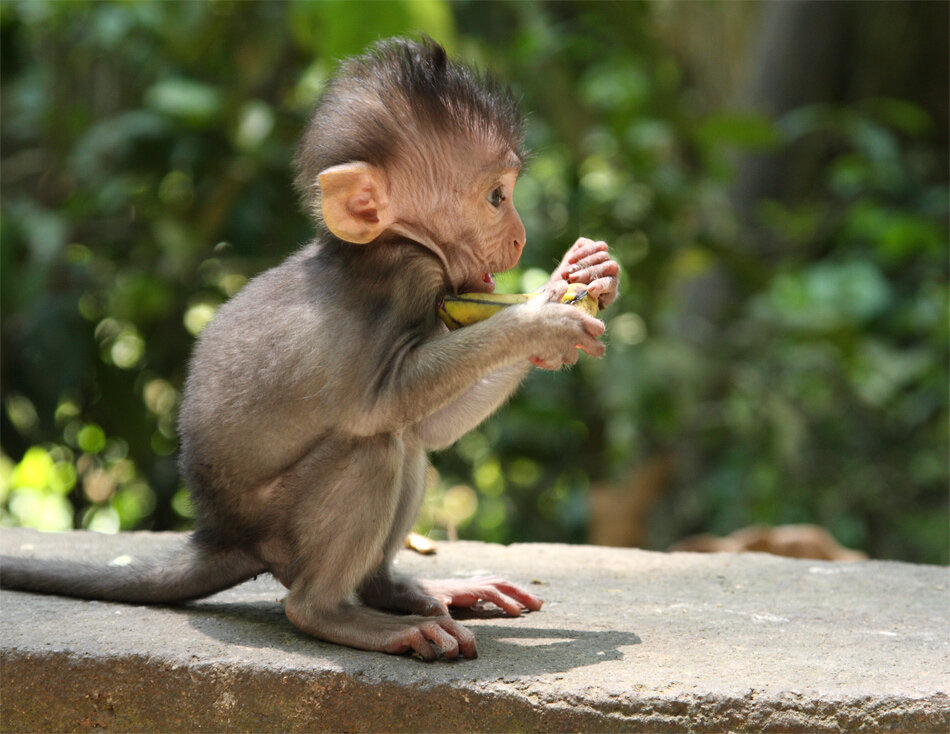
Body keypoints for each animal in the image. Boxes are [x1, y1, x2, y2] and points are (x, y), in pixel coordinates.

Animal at [0, 37, 620, 664]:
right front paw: (542, 322)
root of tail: (224, 534)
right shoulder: (408, 277)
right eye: (496, 197)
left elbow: (431, 426)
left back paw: (393, 590)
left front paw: (582, 275)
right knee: (377, 446)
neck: (378, 248)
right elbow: (382, 404)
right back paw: (338, 614)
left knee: (409, 443)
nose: (520, 237)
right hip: (280, 526)